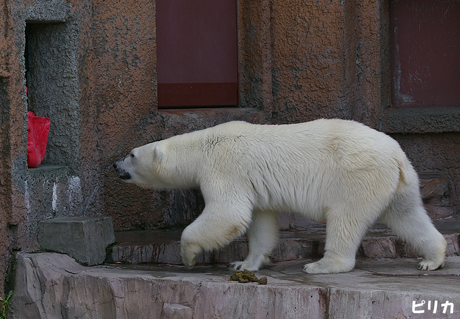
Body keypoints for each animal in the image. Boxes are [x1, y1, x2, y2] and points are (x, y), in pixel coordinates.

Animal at [113, 120, 448, 276]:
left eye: (132, 154)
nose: (115, 166)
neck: (204, 145)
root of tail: (397, 155)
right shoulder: (253, 186)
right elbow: (260, 221)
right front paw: (244, 263)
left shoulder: (224, 167)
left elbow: (228, 212)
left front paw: (189, 256)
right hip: (397, 183)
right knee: (407, 215)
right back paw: (432, 258)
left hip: (356, 175)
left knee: (345, 219)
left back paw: (321, 265)